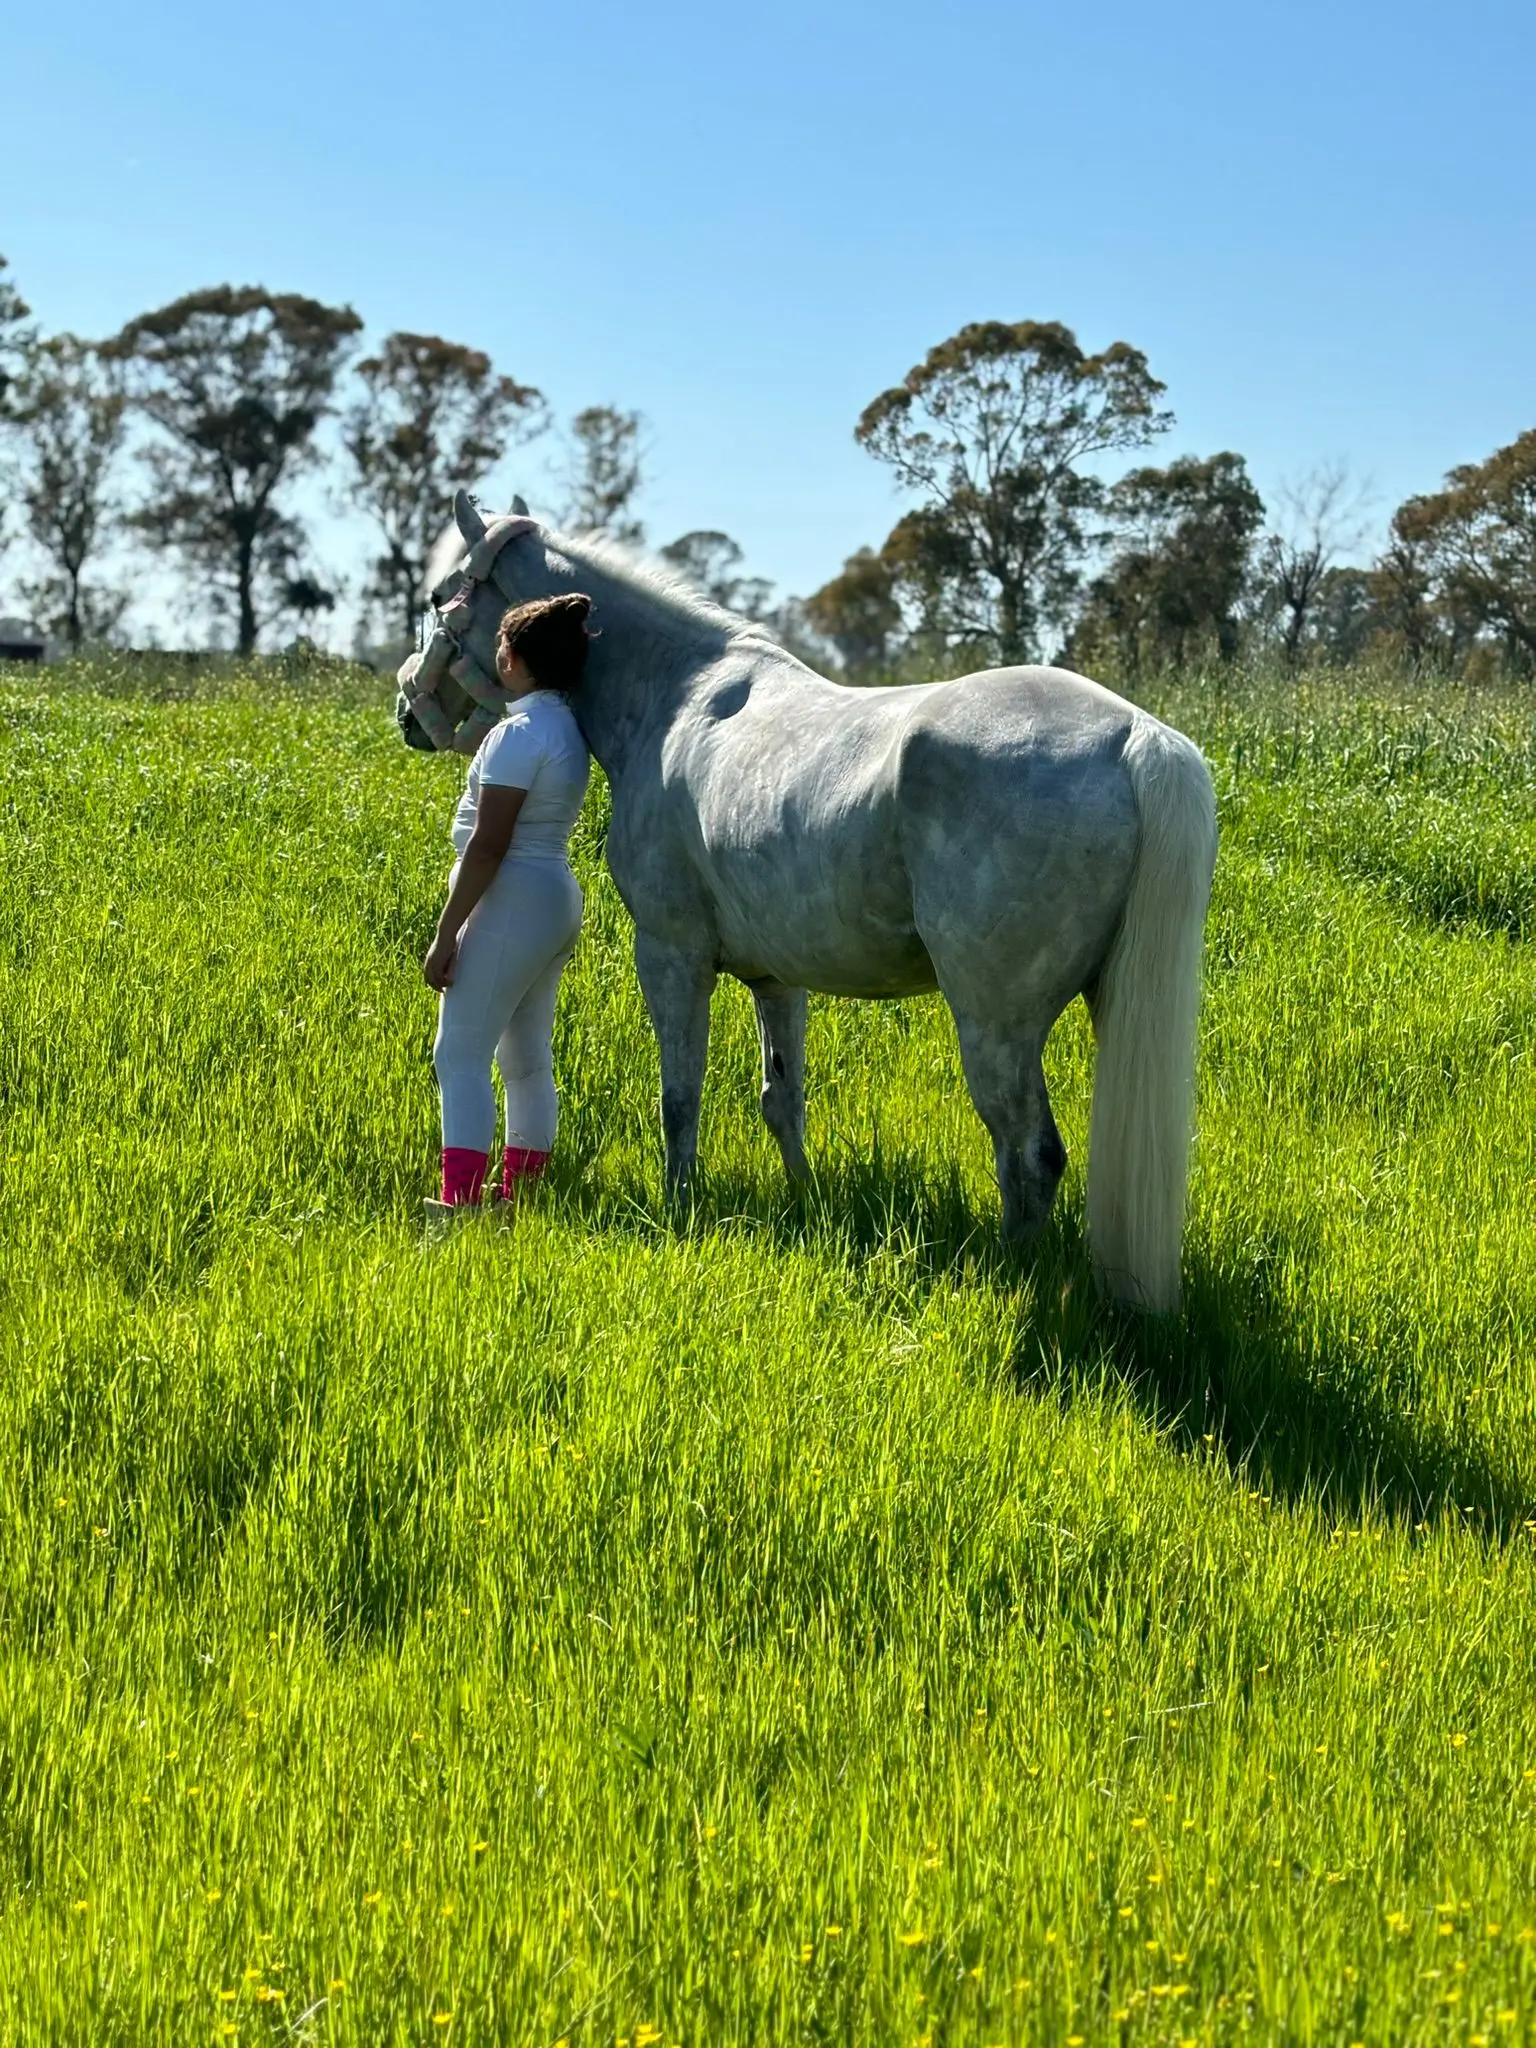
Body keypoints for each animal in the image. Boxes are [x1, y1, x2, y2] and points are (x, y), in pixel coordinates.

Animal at [397, 492, 1219, 1312]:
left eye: (438, 598)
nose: (407, 715)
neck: (674, 697)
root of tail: (1133, 735)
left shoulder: (670, 955)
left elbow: (680, 1095)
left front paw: (678, 1206)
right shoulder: (777, 978)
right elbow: (781, 1098)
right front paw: (806, 1204)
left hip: (996, 1026)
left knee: (1030, 1154)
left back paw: (1012, 1279)